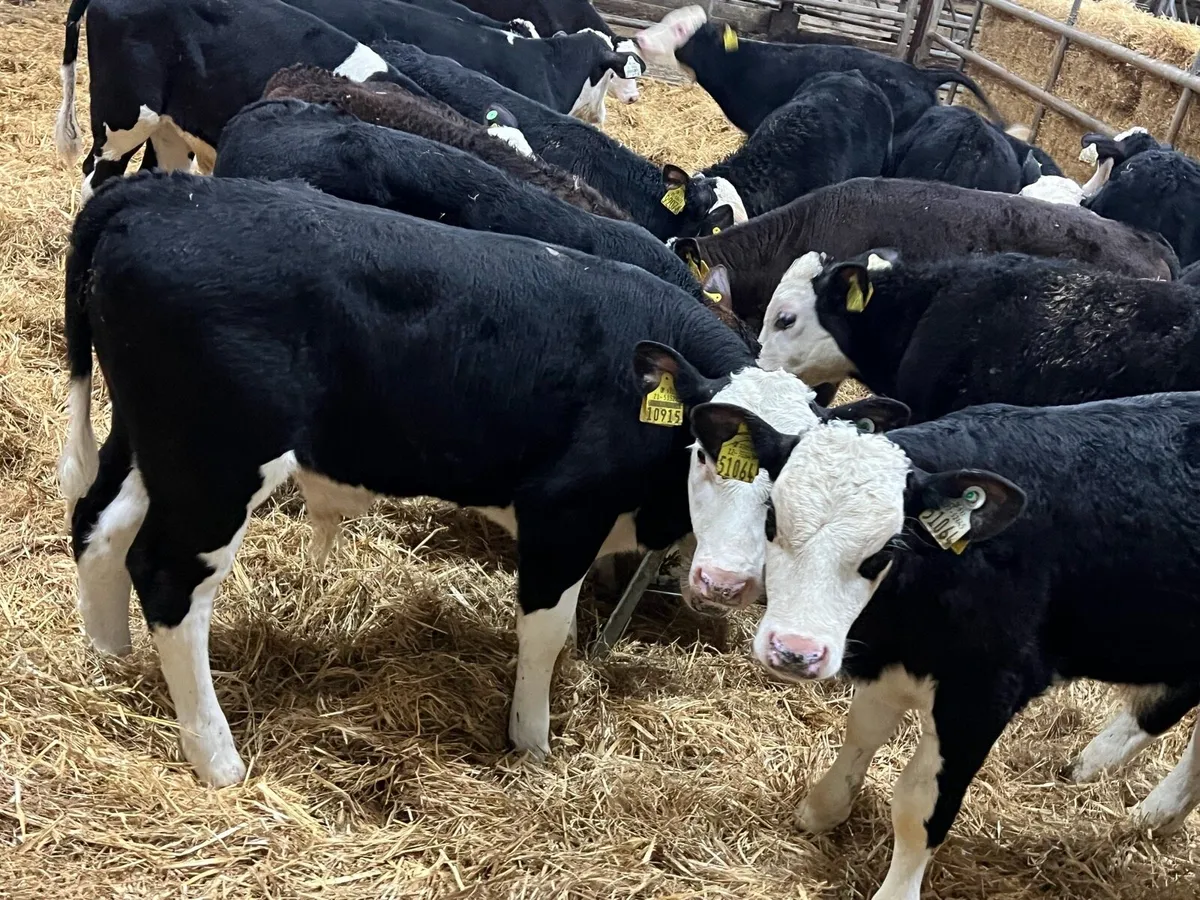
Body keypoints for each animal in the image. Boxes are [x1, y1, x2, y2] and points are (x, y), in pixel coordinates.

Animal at [58, 171, 765, 786]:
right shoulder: (562, 514)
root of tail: (159, 192)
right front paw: (531, 743)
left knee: (98, 524)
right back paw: (218, 758)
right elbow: (544, 632)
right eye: (707, 453)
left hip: (150, 444)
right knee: (167, 576)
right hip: (217, 465)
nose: (726, 581)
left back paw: (108, 655)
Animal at [689, 393, 1200, 898]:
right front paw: (824, 807)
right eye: (771, 519)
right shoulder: (892, 664)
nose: (796, 652)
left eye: (884, 550)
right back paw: (1142, 804)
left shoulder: (982, 694)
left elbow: (919, 807)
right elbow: (863, 731)